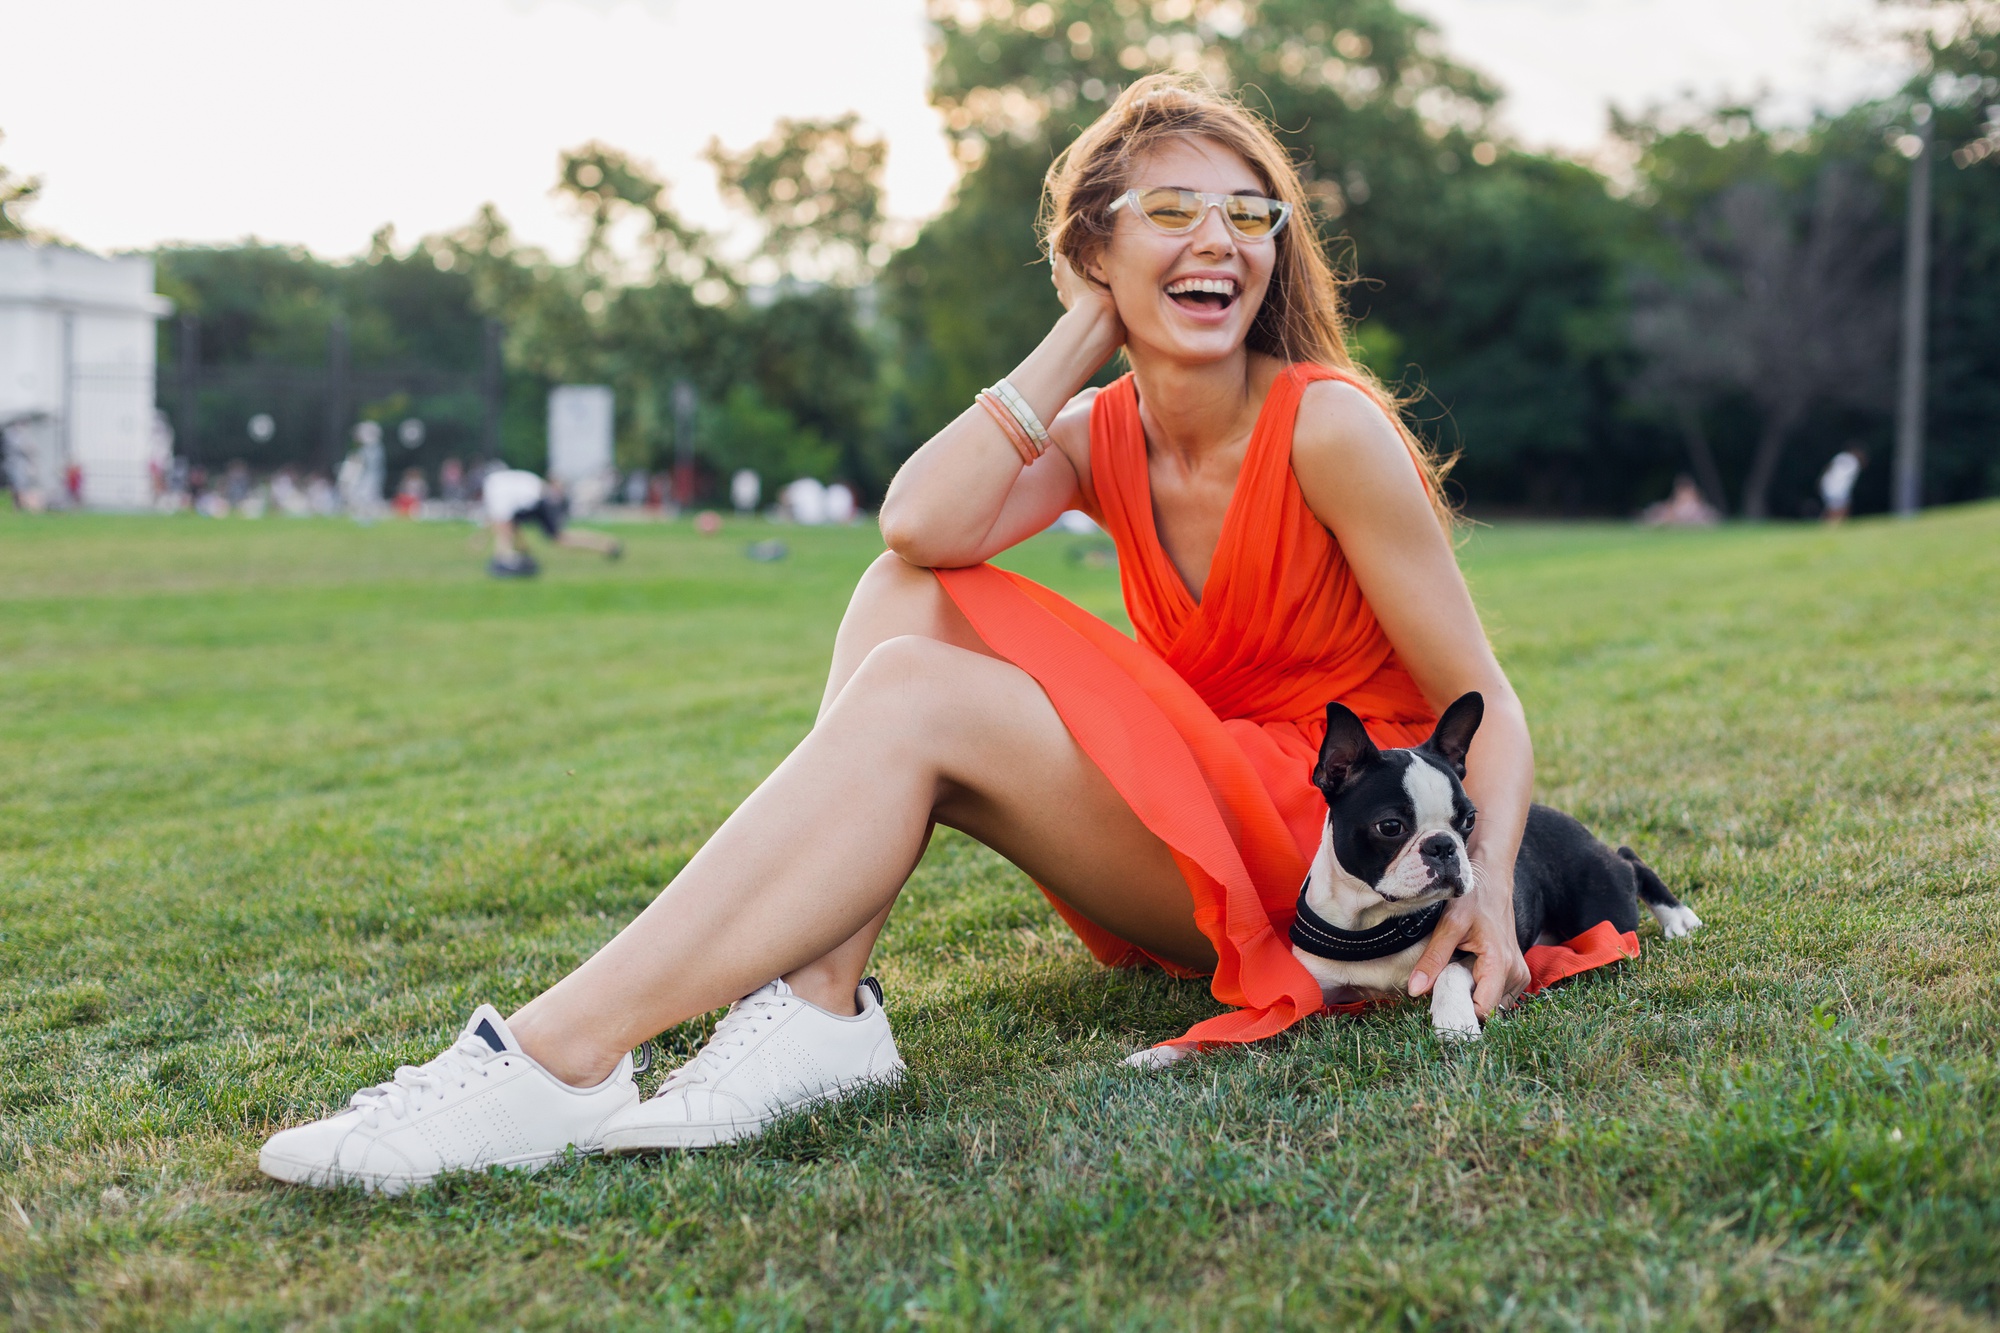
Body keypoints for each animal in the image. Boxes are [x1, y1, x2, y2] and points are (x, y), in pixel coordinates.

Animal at [1280, 688, 1704, 1040]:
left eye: (1468, 820)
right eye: (1390, 827)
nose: (1443, 846)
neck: (1375, 923)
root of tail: (1578, 828)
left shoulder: (1481, 953)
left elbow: (1451, 970)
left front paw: (1455, 1021)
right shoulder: (1319, 986)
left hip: (1601, 910)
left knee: (1628, 860)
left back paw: (1677, 917)